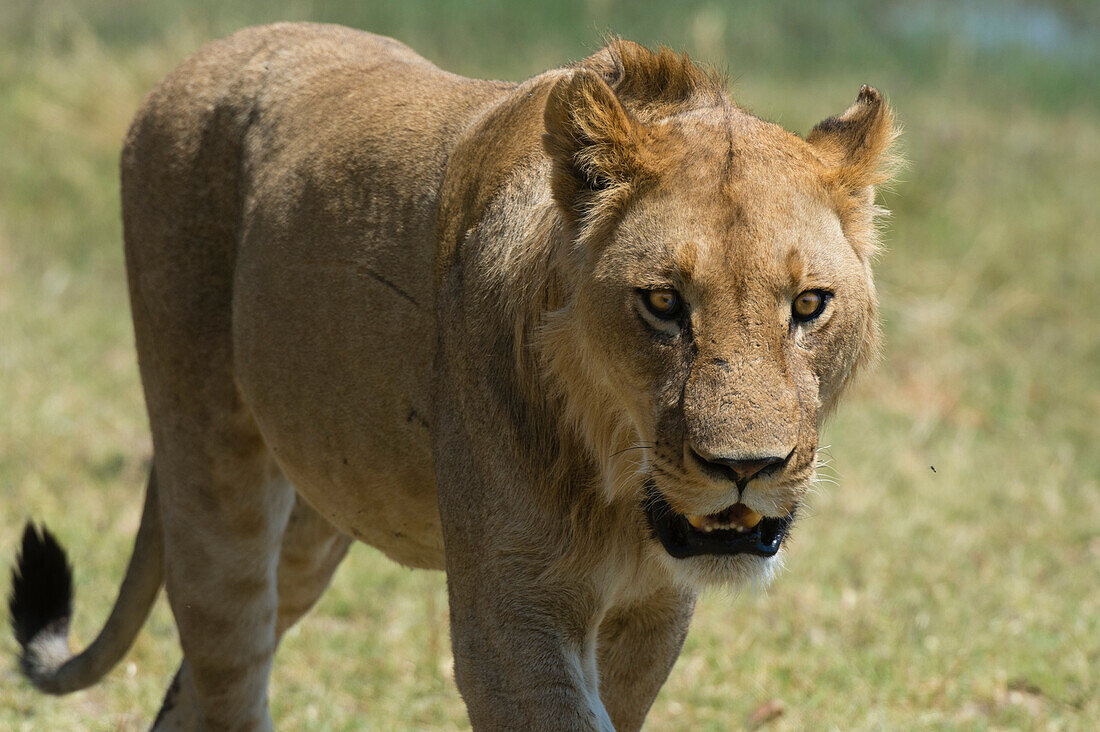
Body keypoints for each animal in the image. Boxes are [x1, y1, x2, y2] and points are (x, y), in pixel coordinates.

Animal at [8, 19, 897, 726]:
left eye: (809, 305)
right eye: (661, 302)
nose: (746, 468)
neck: (617, 487)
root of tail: (215, 50)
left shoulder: (651, 612)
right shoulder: (510, 612)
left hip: (316, 512)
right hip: (212, 474)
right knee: (228, 669)